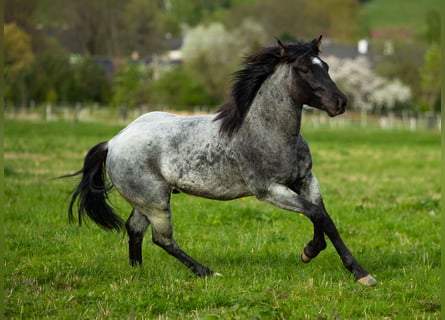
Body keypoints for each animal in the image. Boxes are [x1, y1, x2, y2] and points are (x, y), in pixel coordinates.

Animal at [65, 36, 374, 286]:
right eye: (304, 69)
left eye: (326, 66)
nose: (340, 103)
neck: (269, 131)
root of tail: (113, 142)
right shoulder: (269, 190)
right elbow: (318, 214)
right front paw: (357, 272)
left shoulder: (305, 180)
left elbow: (322, 216)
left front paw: (317, 254)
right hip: (155, 201)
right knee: (161, 238)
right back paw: (206, 272)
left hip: (146, 200)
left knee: (135, 229)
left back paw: (137, 272)